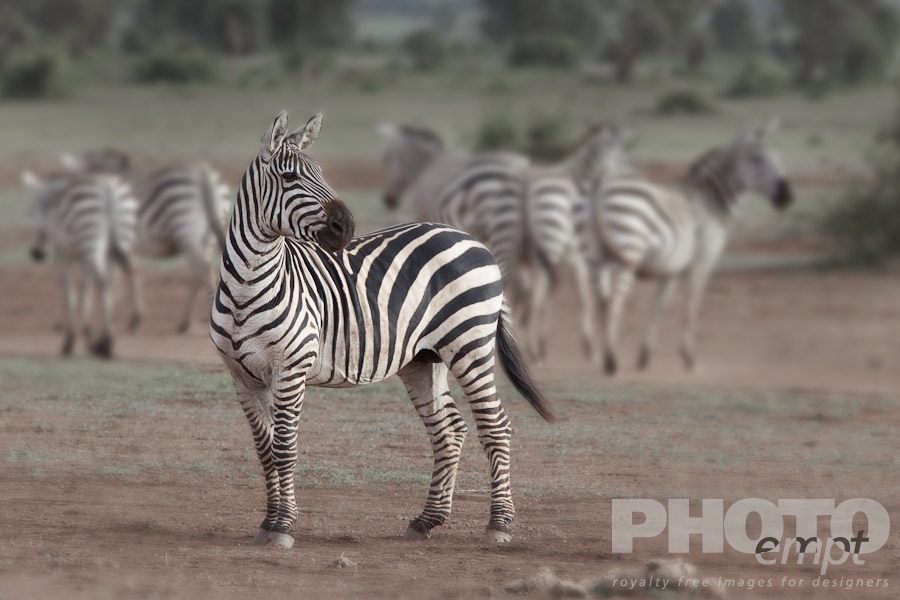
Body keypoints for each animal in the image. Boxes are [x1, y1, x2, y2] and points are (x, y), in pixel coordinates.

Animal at [21, 170, 140, 357]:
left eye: (31, 211)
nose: (36, 253)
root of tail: (108, 188)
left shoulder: (63, 256)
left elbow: (70, 296)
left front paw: (69, 342)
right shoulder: (87, 260)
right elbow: (86, 296)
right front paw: (88, 337)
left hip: (90, 238)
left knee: (104, 283)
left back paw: (107, 343)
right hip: (122, 238)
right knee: (125, 274)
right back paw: (126, 325)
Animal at [61, 148, 231, 332]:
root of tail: (202, 173)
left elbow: (115, 274)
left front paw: (128, 315)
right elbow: (123, 272)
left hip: (187, 230)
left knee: (204, 271)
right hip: (207, 237)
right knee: (200, 274)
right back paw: (184, 322)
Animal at [592, 120, 793, 375]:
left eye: (778, 157)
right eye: (757, 158)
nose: (788, 197)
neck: (711, 201)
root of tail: (603, 184)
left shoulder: (671, 270)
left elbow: (660, 308)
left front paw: (644, 356)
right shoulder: (703, 261)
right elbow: (691, 307)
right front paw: (689, 358)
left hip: (599, 255)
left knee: (601, 300)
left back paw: (603, 356)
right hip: (627, 253)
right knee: (615, 302)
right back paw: (612, 361)